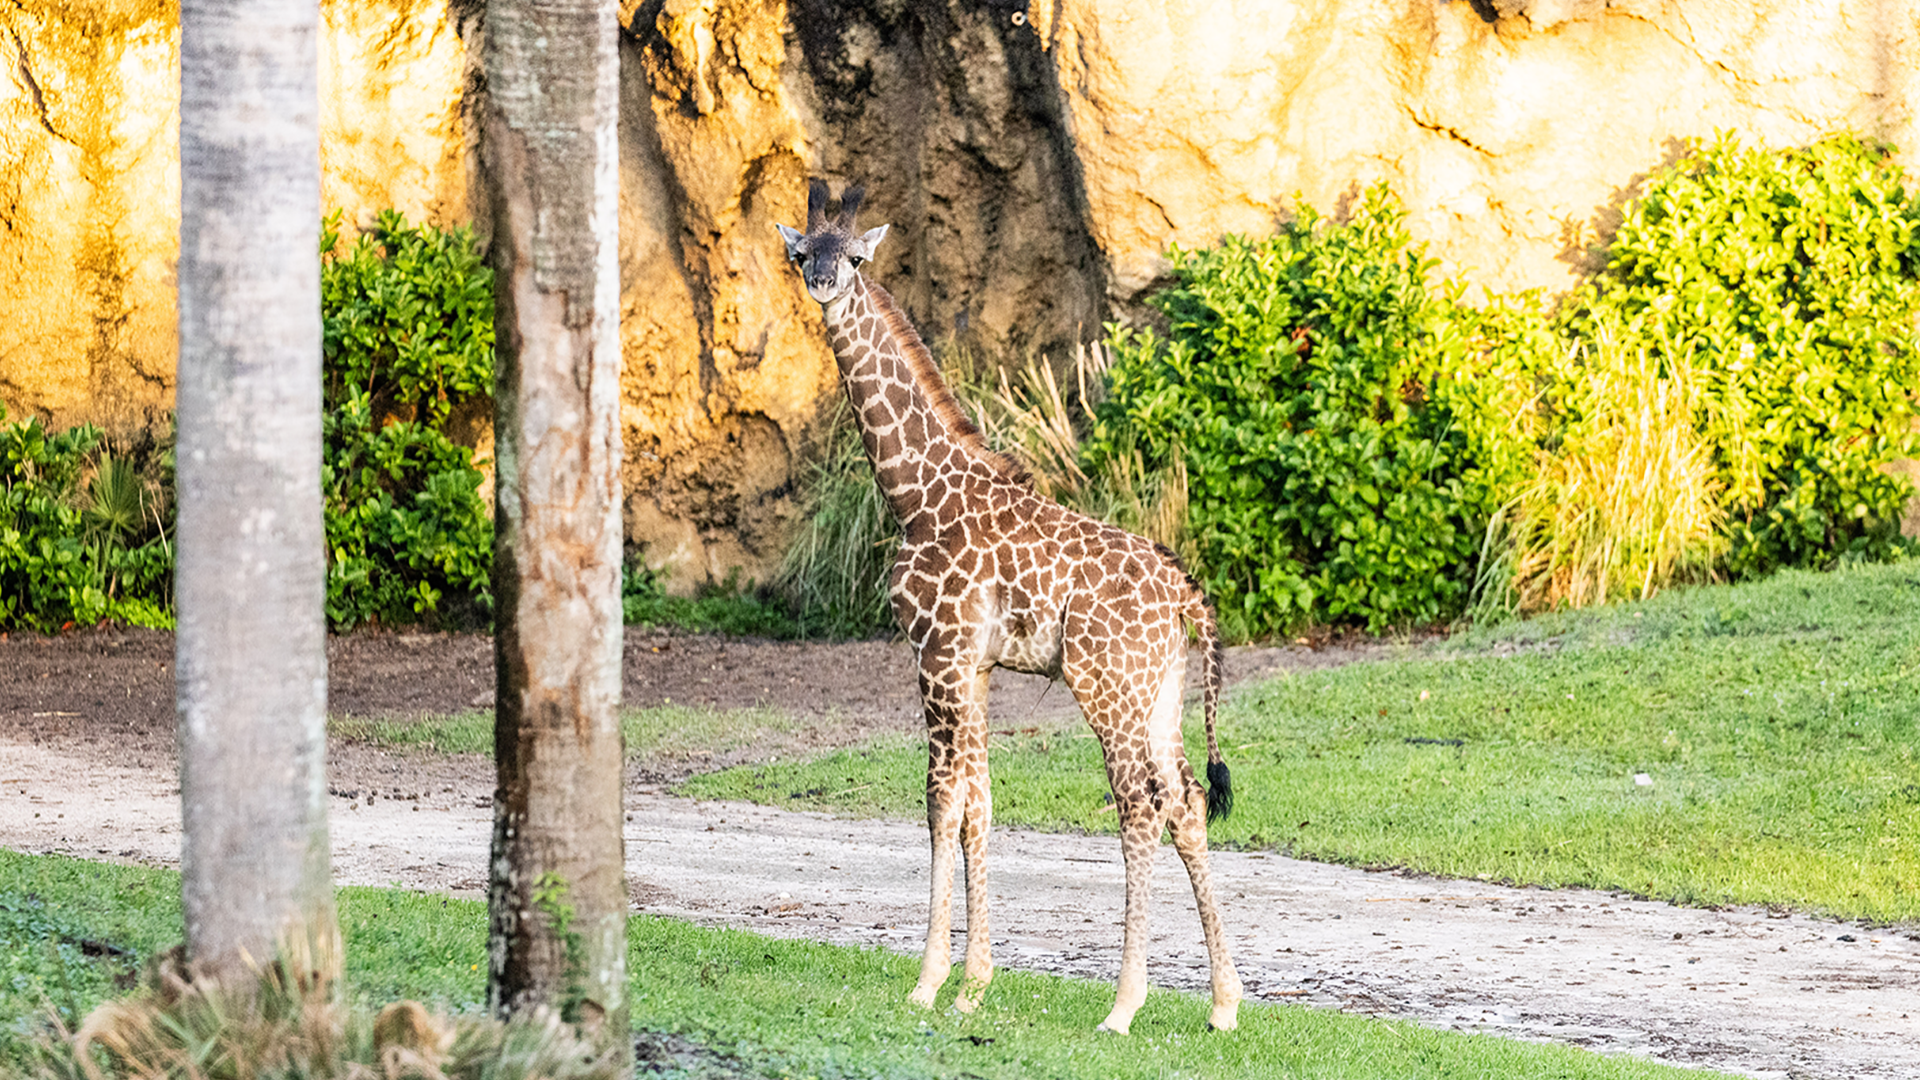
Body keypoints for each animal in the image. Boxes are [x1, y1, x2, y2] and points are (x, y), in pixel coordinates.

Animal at [777, 180, 1242, 1034]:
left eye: (853, 257)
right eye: (802, 253)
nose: (823, 284)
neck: (913, 495)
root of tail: (1185, 595)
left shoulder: (936, 651)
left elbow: (941, 802)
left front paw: (930, 984)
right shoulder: (978, 664)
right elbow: (979, 804)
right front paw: (973, 986)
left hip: (1107, 685)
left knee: (1139, 805)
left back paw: (1123, 1007)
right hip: (1160, 689)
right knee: (1187, 800)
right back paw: (1224, 1005)